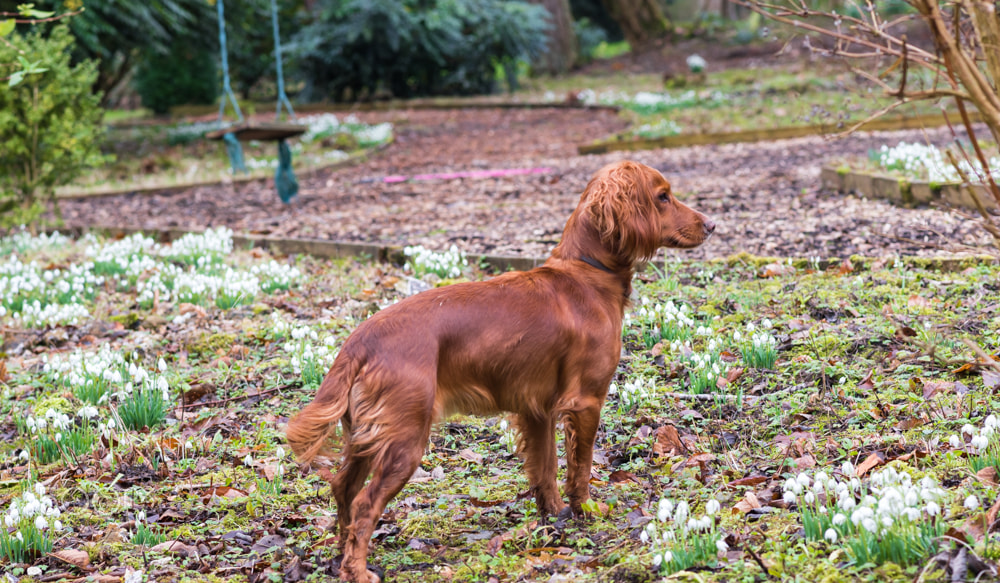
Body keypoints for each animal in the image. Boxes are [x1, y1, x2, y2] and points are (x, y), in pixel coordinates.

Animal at [286, 160, 716, 583]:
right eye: (663, 196)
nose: (712, 224)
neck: (586, 273)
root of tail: (360, 340)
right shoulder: (586, 401)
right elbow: (580, 467)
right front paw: (585, 512)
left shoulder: (537, 410)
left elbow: (545, 469)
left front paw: (553, 517)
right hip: (404, 439)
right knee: (364, 503)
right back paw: (357, 571)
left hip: (365, 436)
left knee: (343, 488)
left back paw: (341, 556)